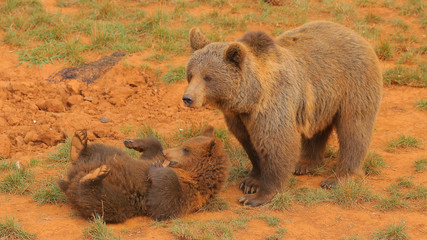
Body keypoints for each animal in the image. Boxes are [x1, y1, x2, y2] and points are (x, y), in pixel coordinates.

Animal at [182, 20, 382, 206]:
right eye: (191, 74)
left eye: (208, 77)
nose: (188, 98)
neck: (250, 98)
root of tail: (356, 34)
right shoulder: (238, 117)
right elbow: (250, 144)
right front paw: (251, 182)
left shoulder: (272, 105)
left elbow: (276, 144)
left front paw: (256, 196)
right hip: (320, 102)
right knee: (317, 130)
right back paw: (304, 164)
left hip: (353, 85)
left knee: (354, 129)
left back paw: (338, 178)